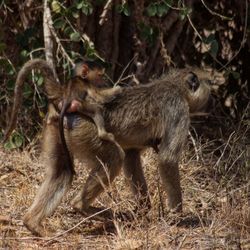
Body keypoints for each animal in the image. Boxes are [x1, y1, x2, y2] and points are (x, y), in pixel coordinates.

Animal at [3, 59, 211, 236]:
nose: (211, 96)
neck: (175, 84)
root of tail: (64, 96)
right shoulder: (178, 109)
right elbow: (167, 159)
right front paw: (177, 217)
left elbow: (132, 157)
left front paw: (144, 209)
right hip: (85, 129)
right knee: (114, 158)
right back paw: (83, 207)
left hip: (58, 129)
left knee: (62, 172)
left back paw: (33, 224)